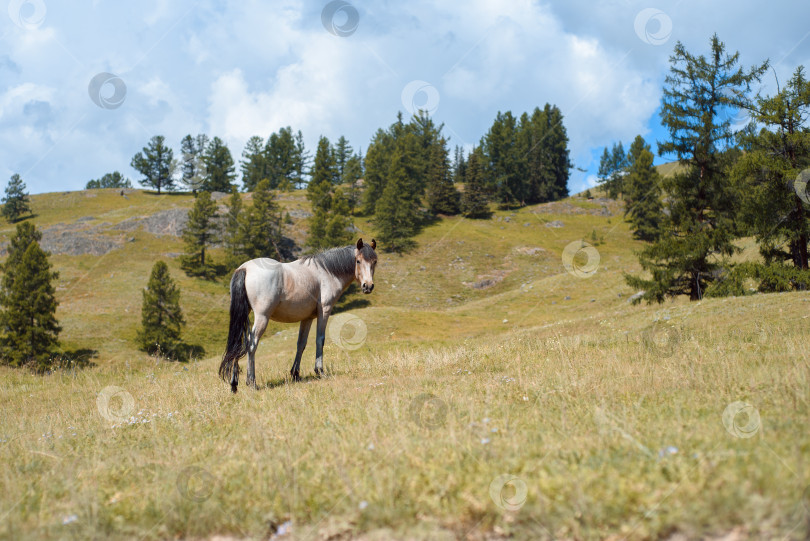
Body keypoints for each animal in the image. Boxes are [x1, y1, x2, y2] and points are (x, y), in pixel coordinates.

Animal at [218, 238, 376, 390]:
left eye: (374, 262)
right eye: (358, 261)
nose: (368, 286)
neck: (327, 272)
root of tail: (245, 268)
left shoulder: (307, 318)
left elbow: (301, 344)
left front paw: (295, 373)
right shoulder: (324, 311)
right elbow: (320, 339)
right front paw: (320, 371)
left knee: (239, 344)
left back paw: (234, 383)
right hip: (262, 317)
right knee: (252, 344)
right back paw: (251, 382)